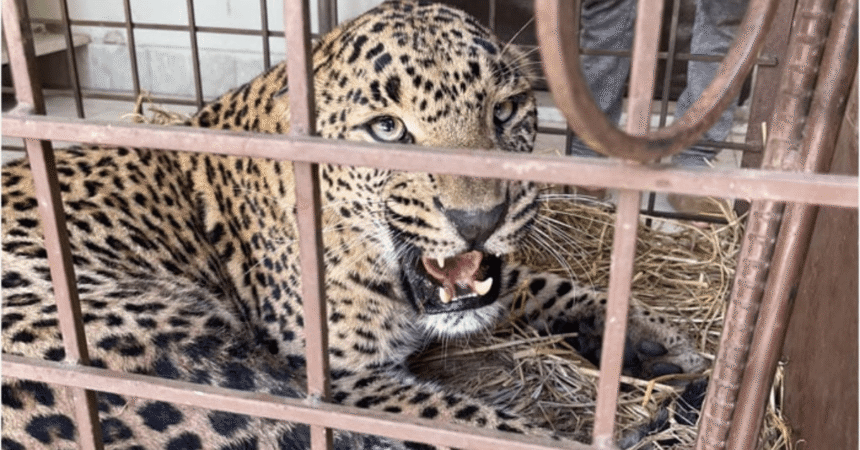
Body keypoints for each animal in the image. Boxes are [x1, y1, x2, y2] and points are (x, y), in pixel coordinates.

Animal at [1, 1, 707, 448]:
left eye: (504, 111)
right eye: (388, 129)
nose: (479, 220)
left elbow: (538, 283)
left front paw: (649, 339)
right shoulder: (345, 383)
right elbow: (471, 426)